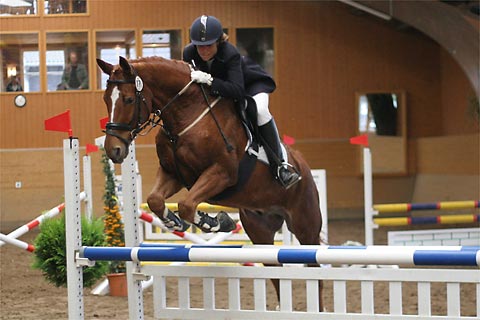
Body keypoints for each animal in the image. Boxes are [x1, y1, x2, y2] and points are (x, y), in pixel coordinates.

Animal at [96, 55, 324, 310]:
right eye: (106, 99)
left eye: (127, 99)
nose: (114, 150)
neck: (185, 115)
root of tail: (301, 164)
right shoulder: (174, 174)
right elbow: (155, 200)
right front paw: (174, 221)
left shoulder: (222, 173)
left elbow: (187, 205)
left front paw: (216, 222)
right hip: (260, 231)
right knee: (275, 271)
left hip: (305, 226)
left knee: (315, 269)